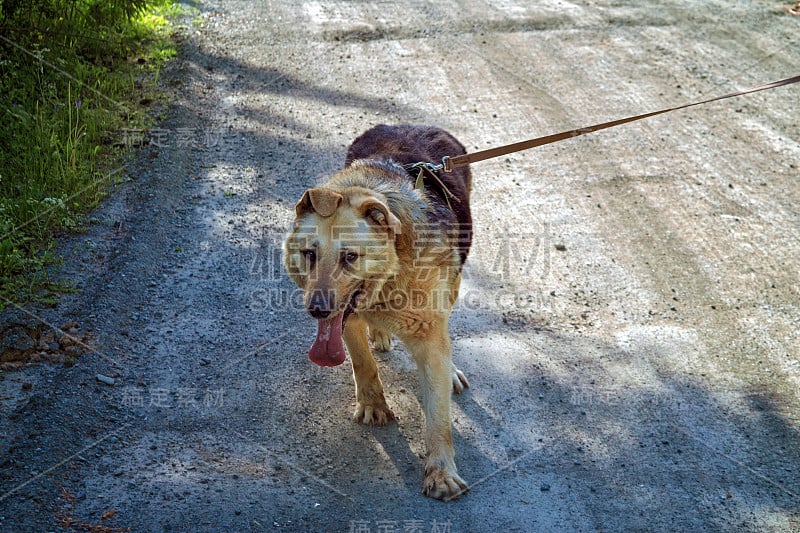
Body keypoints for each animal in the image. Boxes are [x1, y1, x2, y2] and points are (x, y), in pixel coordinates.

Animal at [284, 123, 472, 498]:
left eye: (350, 257)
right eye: (310, 254)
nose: (317, 310)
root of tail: (417, 125)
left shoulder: (429, 335)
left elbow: (439, 416)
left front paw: (441, 472)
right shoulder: (348, 320)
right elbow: (362, 363)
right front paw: (373, 406)